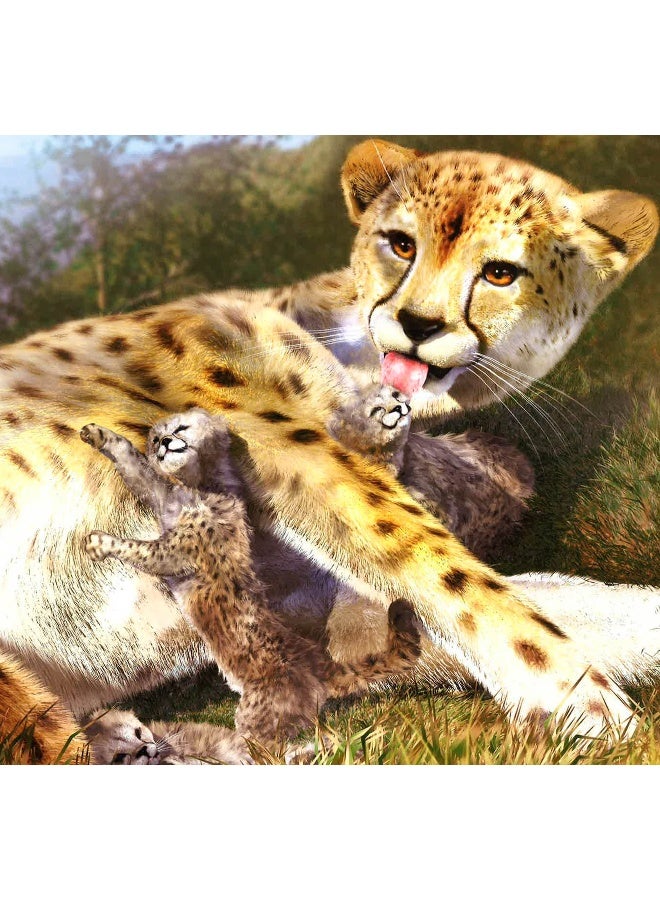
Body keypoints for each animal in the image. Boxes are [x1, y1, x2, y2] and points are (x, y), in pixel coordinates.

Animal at [79, 411, 422, 747]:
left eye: (181, 428)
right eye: (154, 438)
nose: (162, 442)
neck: (200, 485)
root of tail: (320, 662)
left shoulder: (176, 554)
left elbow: (137, 547)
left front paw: (98, 543)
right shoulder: (160, 498)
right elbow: (136, 467)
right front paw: (99, 434)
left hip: (259, 718)